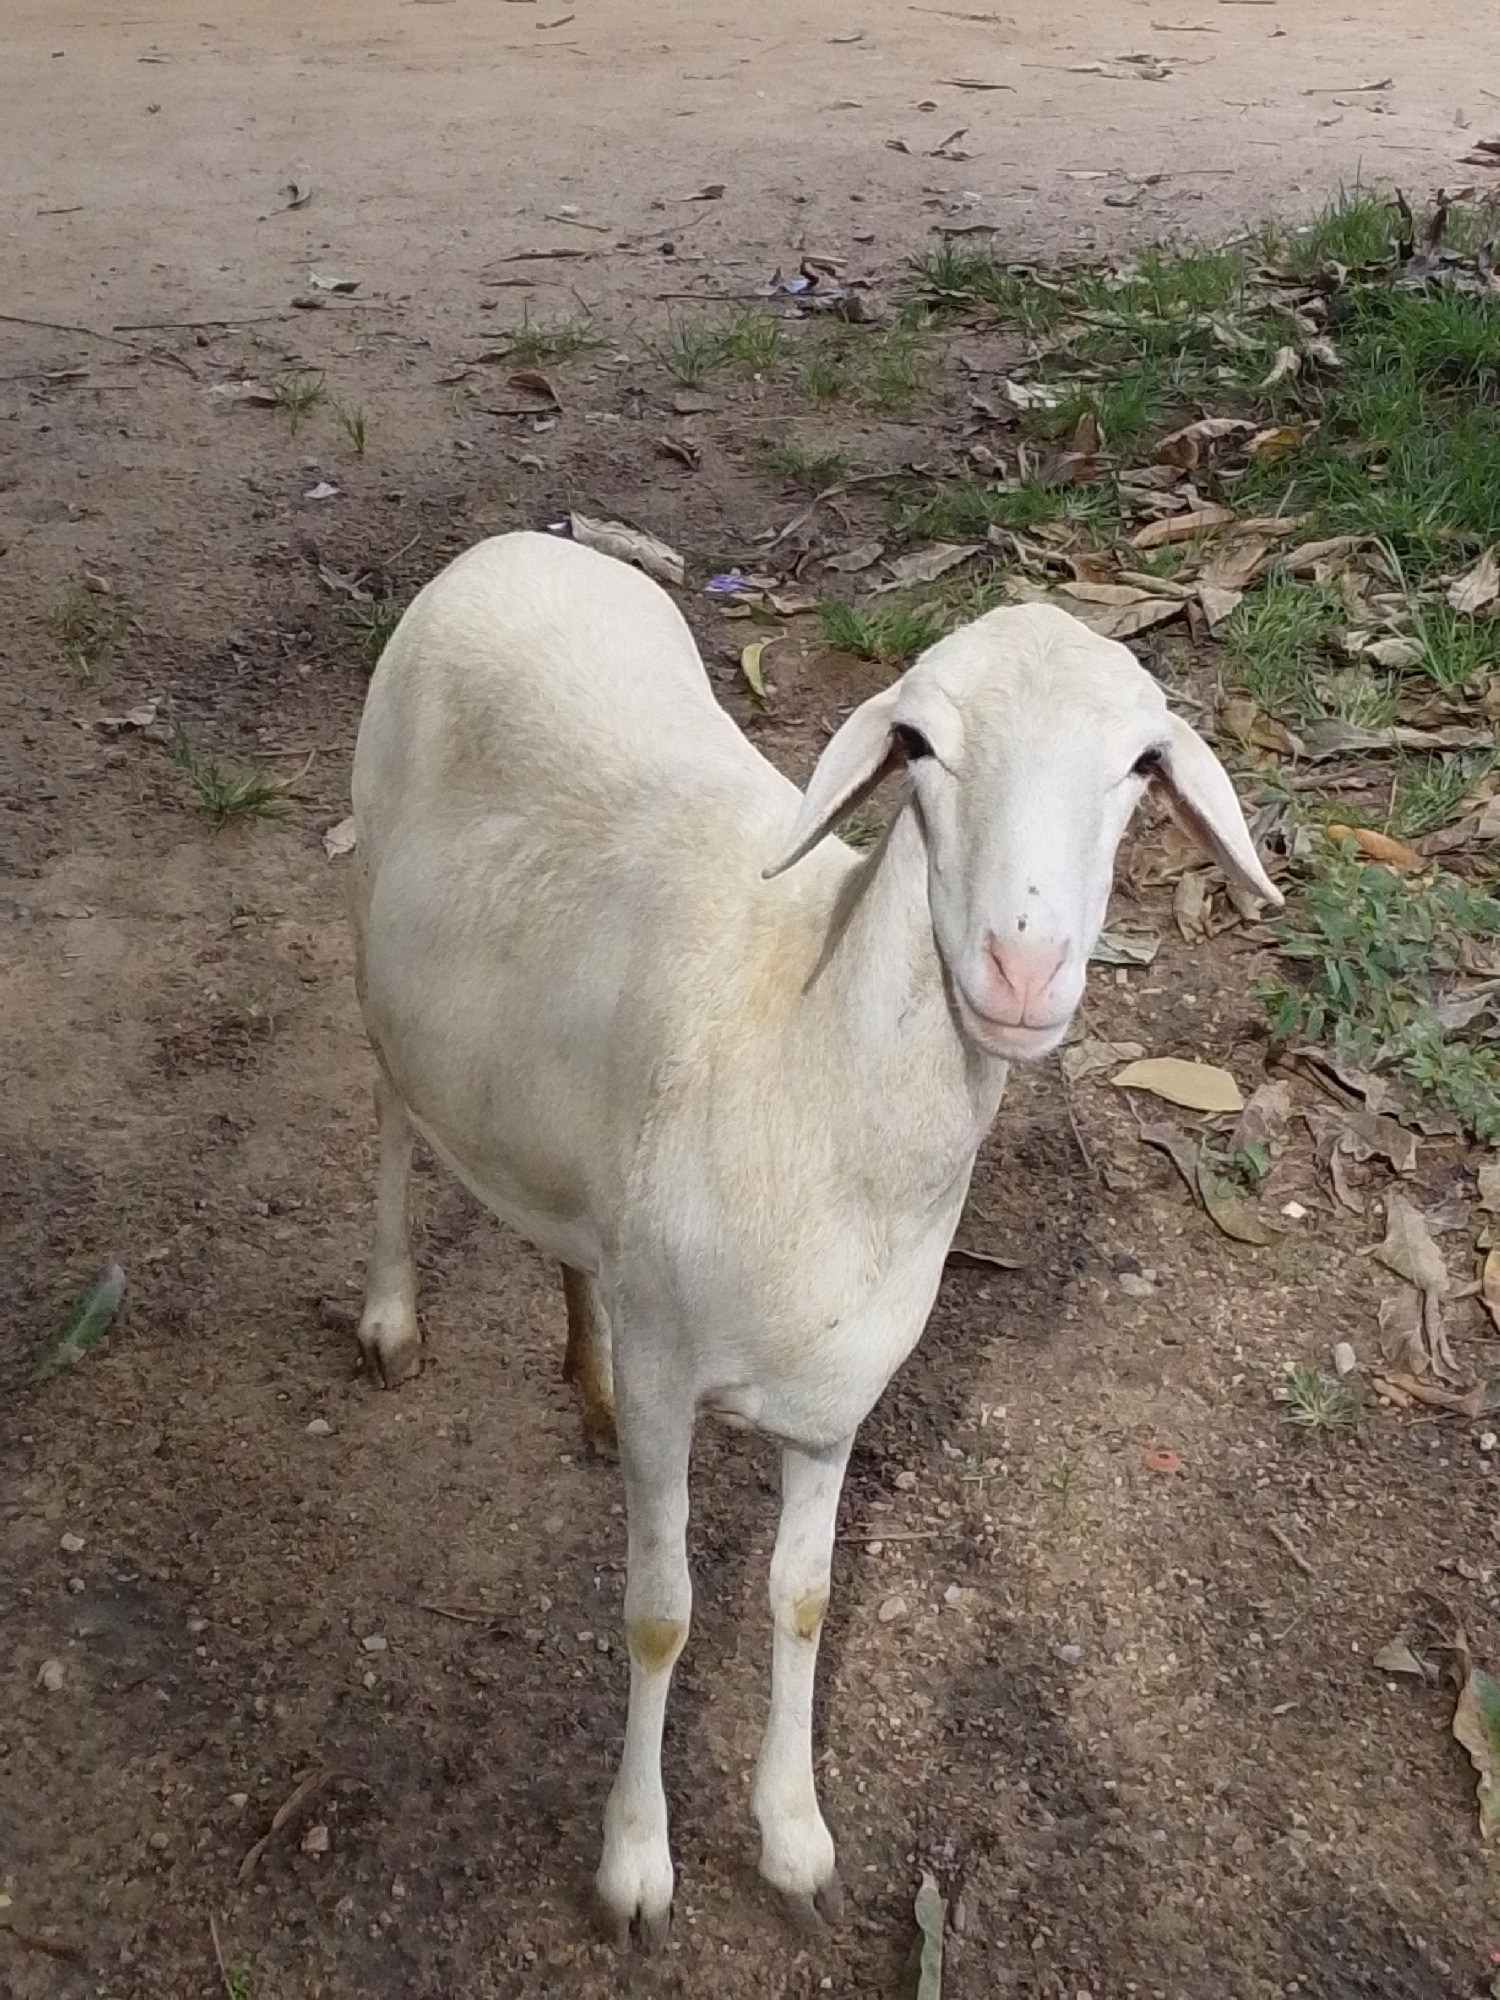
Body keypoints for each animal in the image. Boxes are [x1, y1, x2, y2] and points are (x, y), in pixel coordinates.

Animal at [347, 530, 1281, 1945]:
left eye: (1141, 763)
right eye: (919, 742)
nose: (1022, 968)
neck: (802, 1035)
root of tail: (520, 542)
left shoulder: (838, 1401)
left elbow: (804, 1599)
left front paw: (792, 1836)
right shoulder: (677, 1374)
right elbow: (662, 1614)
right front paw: (637, 1862)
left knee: (563, 1221)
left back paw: (584, 1374)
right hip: (379, 962)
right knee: (395, 1121)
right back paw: (392, 1315)